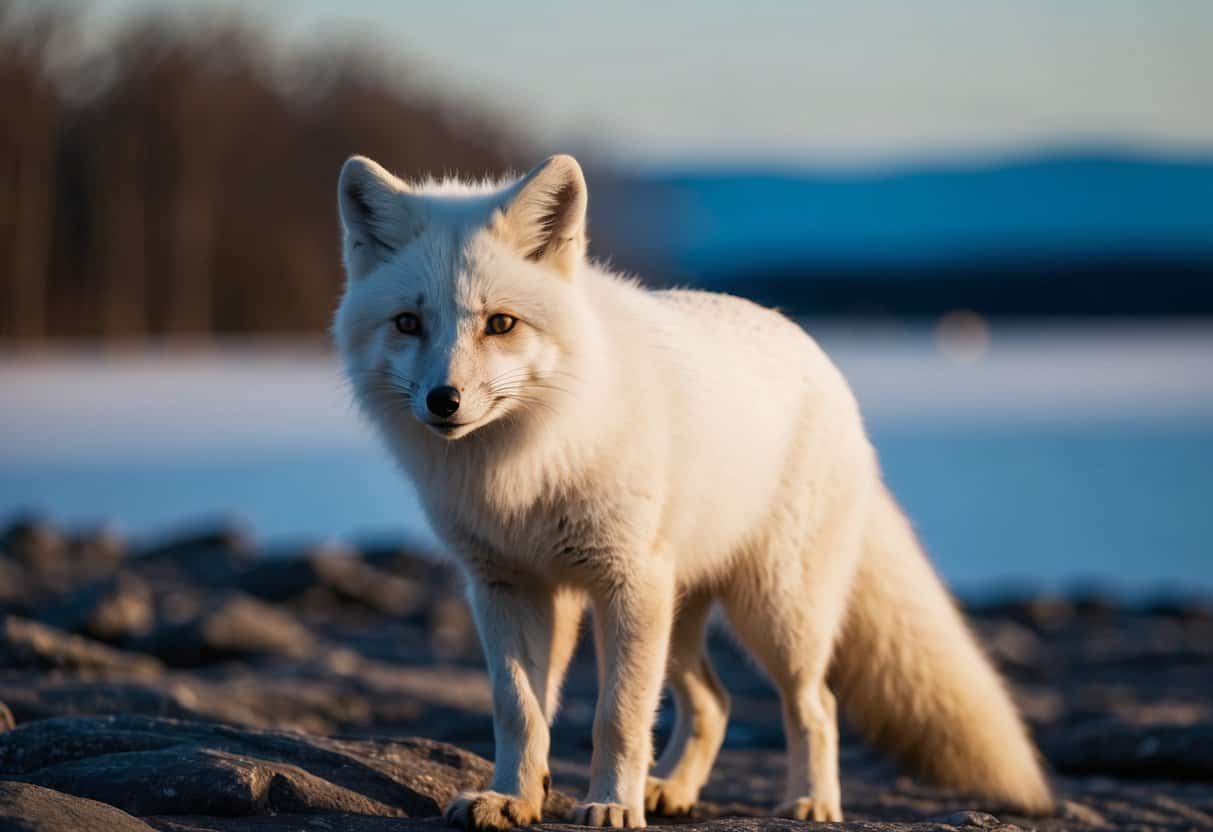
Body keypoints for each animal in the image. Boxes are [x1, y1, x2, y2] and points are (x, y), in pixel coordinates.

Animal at [332, 153, 1054, 830]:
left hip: (771, 615)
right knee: (715, 702)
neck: (526, 468)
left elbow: (618, 718)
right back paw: (672, 790)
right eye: (407, 323)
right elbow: (519, 711)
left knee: (814, 704)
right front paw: (512, 797)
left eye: (500, 324)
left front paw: (609, 806)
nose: (443, 401)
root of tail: (813, 352)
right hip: (678, 617)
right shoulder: (508, 587)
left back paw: (810, 801)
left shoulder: (623, 582)